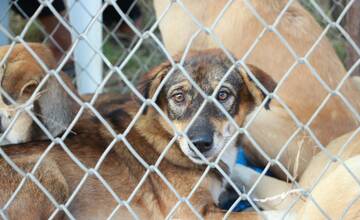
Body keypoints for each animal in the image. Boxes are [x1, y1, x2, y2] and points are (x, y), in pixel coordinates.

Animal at [0, 49, 274, 219]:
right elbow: (261, 215)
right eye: (178, 97)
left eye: (223, 95)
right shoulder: (191, 212)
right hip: (45, 171)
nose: (199, 144)